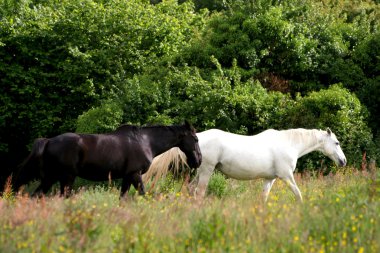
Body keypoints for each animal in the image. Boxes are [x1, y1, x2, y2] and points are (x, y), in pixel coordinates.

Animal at [12, 121, 202, 197]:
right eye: (196, 139)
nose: (198, 160)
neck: (145, 141)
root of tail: (49, 141)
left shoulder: (127, 177)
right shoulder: (135, 174)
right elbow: (142, 194)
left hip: (51, 178)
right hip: (66, 178)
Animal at [145, 128, 348, 202]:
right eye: (337, 143)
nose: (343, 161)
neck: (290, 144)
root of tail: (197, 138)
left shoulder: (270, 179)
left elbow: (264, 197)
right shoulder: (286, 177)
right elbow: (298, 194)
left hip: (200, 172)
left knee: (190, 189)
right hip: (206, 171)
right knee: (199, 192)